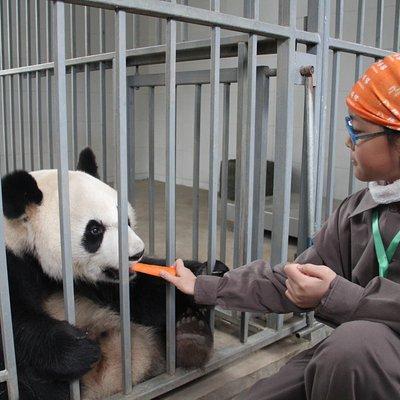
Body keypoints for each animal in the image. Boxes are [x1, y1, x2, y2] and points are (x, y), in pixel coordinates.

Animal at [0, 149, 228, 400]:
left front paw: (206, 274)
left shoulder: (102, 282)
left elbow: (143, 294)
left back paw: (190, 336)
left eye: (127, 220)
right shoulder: (11, 264)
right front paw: (77, 349)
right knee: (29, 383)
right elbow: (15, 325)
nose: (137, 254)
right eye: (94, 230)